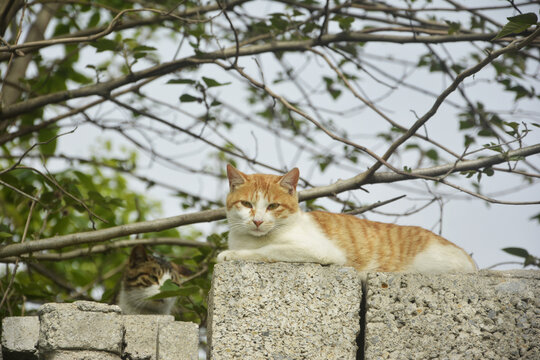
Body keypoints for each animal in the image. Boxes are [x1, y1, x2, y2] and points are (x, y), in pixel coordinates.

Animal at [216, 165, 476, 272]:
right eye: (247, 204)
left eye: (273, 206)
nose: (258, 221)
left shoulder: (317, 250)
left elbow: (267, 251)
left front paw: (230, 254)